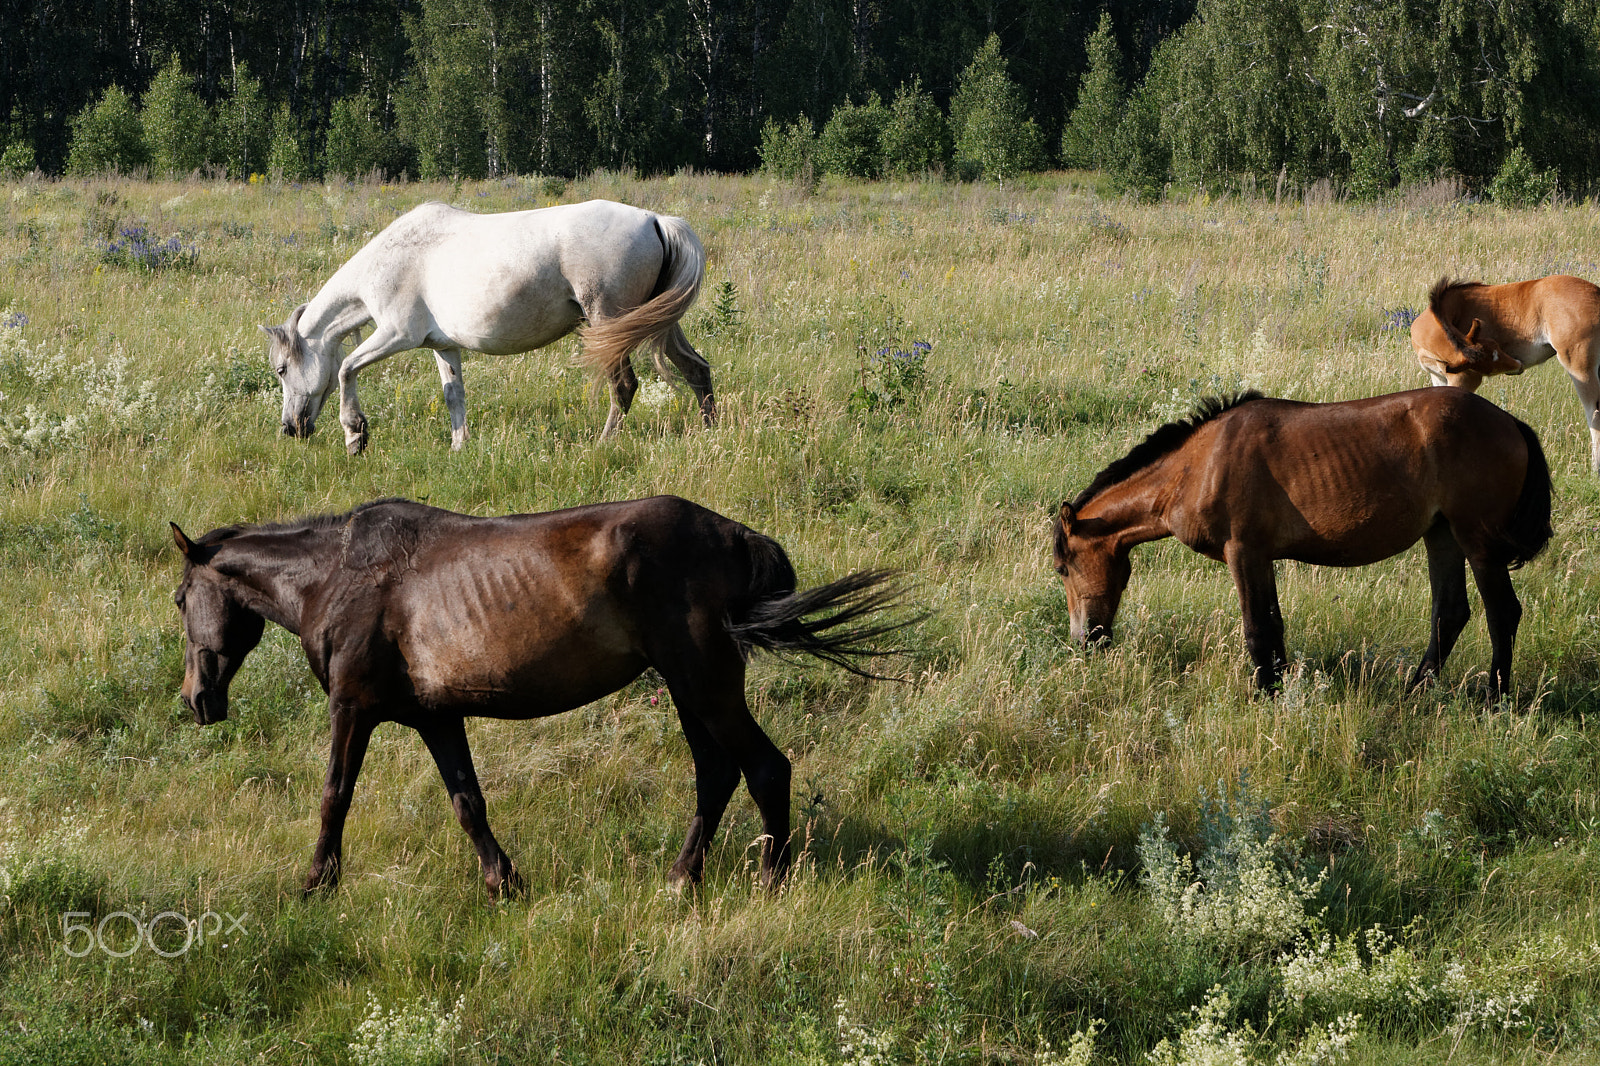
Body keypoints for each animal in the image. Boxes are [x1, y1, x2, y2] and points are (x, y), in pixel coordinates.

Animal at [170, 496, 911, 896]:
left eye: (180, 599)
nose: (197, 700)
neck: (336, 576)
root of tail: (733, 534)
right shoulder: (436, 717)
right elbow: (467, 802)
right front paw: (504, 883)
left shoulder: (351, 710)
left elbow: (335, 797)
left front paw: (317, 883)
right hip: (688, 690)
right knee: (717, 773)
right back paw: (681, 877)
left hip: (705, 684)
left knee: (764, 768)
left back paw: (769, 881)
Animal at [261, 199, 715, 454]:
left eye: (282, 370)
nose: (289, 428)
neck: (391, 260)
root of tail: (655, 219)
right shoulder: (442, 346)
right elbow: (453, 395)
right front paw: (459, 448)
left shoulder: (396, 335)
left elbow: (344, 369)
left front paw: (355, 434)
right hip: (658, 323)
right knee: (696, 368)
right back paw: (709, 432)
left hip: (610, 324)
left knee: (624, 386)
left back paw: (603, 445)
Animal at [1051, 388, 1551, 695]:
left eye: (1061, 568)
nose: (1085, 641)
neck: (1199, 463)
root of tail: (1509, 422)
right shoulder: (1261, 558)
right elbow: (1274, 627)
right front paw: (1280, 687)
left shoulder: (1244, 552)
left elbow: (1258, 630)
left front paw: (1265, 695)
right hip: (1442, 534)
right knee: (1449, 614)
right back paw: (1415, 691)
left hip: (1477, 541)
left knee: (1502, 614)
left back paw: (1494, 698)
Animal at [1411, 274, 1600, 473]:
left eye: (1496, 346)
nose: (1518, 365)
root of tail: (1596, 295)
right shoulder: (1438, 377)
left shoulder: (1465, 378)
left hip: (1579, 366)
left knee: (1593, 412)